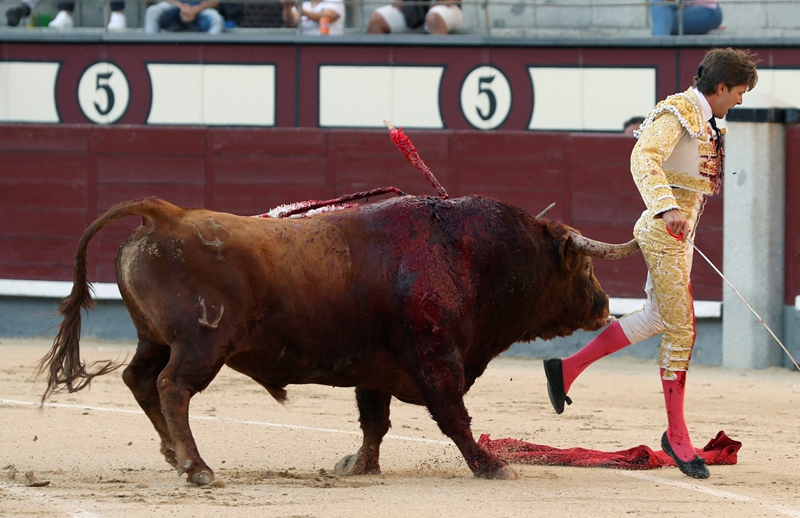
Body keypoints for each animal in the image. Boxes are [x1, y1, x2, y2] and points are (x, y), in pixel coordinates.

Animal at [39, 194, 636, 484]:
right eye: (583, 264)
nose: (605, 306)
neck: (470, 255)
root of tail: (166, 217)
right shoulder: (437, 358)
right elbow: (454, 418)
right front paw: (492, 467)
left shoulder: (377, 368)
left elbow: (374, 421)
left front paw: (360, 467)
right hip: (201, 346)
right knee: (172, 388)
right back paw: (197, 468)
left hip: (154, 339)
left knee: (139, 379)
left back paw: (172, 453)